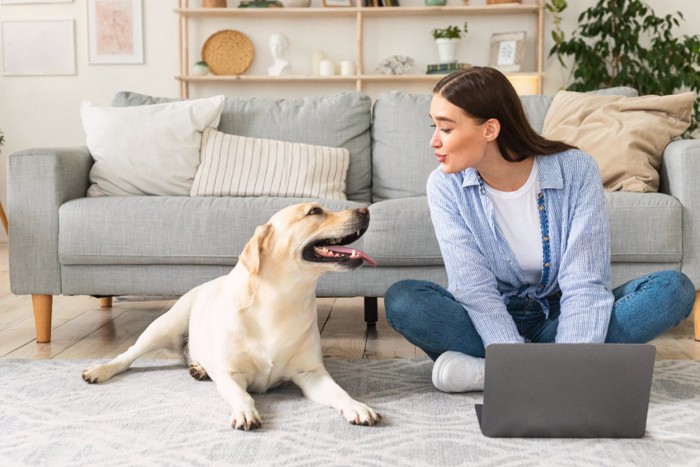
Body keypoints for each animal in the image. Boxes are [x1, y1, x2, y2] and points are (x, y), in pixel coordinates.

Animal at [82, 203, 382, 430]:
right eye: (315, 211)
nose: (366, 210)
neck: (282, 301)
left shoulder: (311, 373)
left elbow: (340, 392)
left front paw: (357, 406)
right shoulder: (230, 374)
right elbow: (243, 396)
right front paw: (246, 413)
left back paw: (199, 368)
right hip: (162, 327)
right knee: (127, 355)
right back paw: (99, 370)